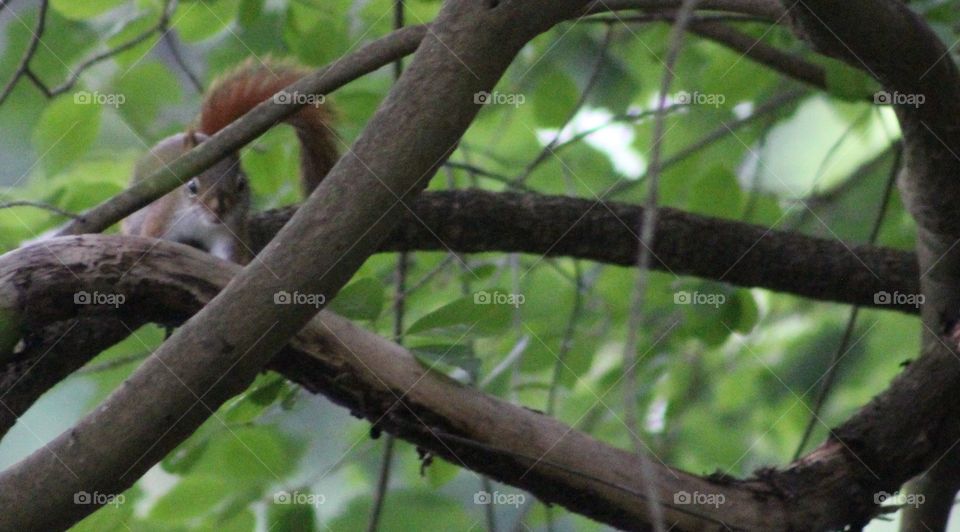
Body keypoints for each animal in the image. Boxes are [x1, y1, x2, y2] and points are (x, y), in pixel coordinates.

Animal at [121, 60, 339, 264]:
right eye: (191, 187)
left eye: (241, 184)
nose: (219, 208)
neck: (201, 223)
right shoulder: (164, 217)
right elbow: (153, 238)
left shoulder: (230, 230)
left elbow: (230, 258)